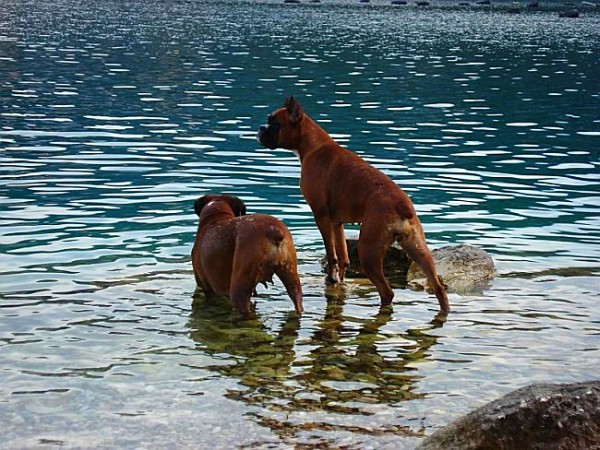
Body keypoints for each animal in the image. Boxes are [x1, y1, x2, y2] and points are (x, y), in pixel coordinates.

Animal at [258, 96, 450, 312]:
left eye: (274, 123)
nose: (261, 128)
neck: (313, 146)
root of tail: (401, 204)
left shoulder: (321, 216)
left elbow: (331, 253)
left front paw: (331, 278)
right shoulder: (337, 222)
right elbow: (342, 256)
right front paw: (338, 280)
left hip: (368, 250)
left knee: (387, 292)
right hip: (418, 248)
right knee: (438, 286)